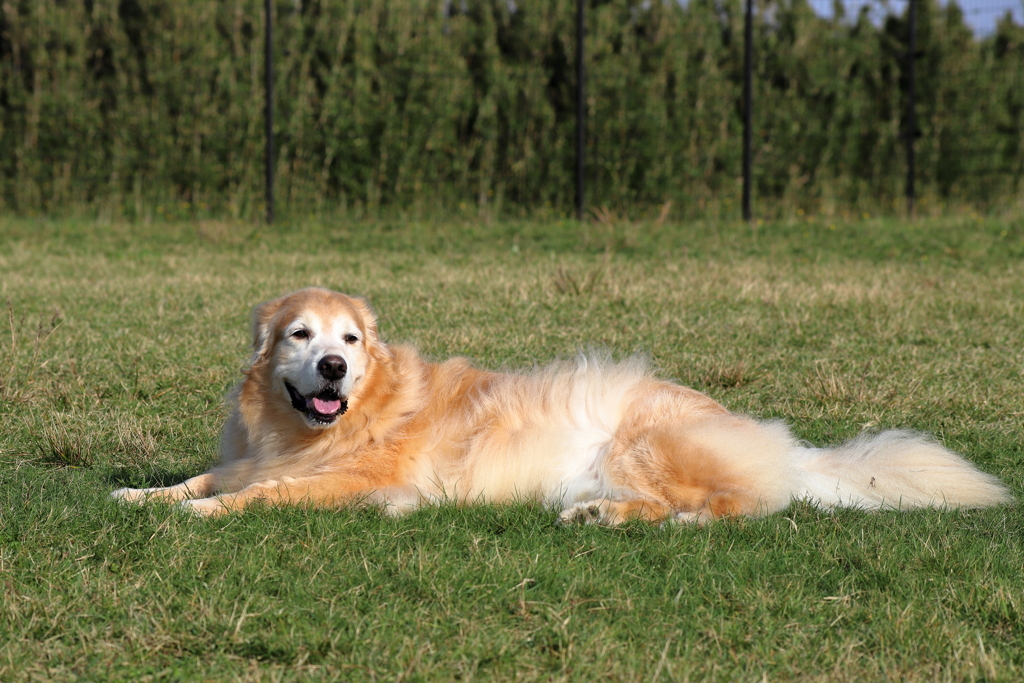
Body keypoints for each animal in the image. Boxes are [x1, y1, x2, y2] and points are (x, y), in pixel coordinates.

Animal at [110, 286, 1007, 520]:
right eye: (298, 335)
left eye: (352, 341)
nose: (331, 366)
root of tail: (780, 441)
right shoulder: (246, 454)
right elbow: (207, 475)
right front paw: (140, 492)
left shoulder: (363, 483)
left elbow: (261, 493)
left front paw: (200, 515)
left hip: (642, 444)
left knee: (723, 507)